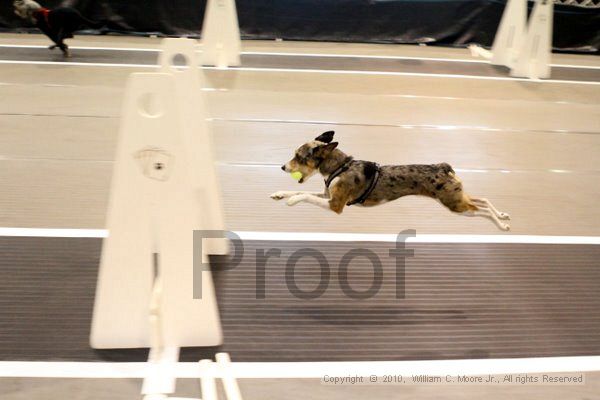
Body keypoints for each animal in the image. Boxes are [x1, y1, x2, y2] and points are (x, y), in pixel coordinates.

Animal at [272, 130, 510, 230]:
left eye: (299, 157)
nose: (283, 167)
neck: (341, 167)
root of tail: (442, 166)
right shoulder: (327, 195)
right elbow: (299, 191)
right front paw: (280, 194)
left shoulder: (335, 205)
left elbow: (303, 195)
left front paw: (291, 201)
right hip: (457, 197)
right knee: (483, 200)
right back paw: (502, 215)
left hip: (455, 204)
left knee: (481, 210)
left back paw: (501, 224)